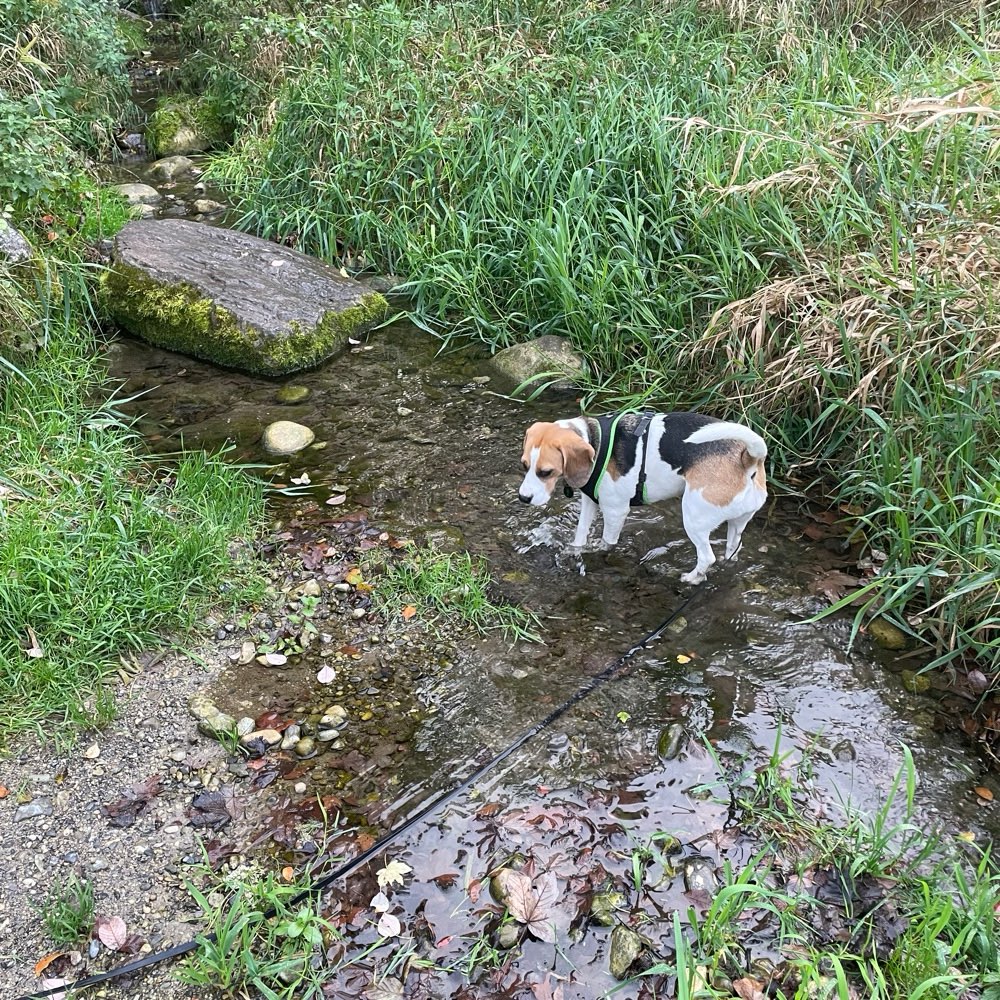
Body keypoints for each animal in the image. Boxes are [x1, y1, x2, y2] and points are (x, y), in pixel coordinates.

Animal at [520, 408, 768, 584]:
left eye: (546, 472)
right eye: (524, 465)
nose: (523, 498)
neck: (593, 440)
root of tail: (747, 459)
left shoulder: (615, 512)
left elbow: (607, 543)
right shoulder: (590, 501)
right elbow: (580, 534)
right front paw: (575, 550)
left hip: (694, 517)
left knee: (707, 557)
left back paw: (692, 578)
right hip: (737, 525)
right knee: (731, 550)